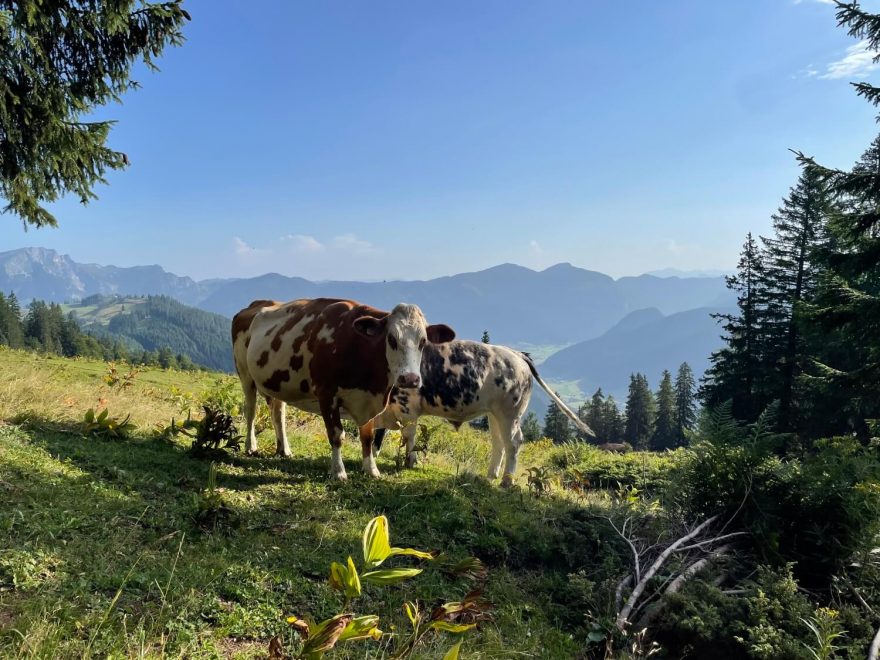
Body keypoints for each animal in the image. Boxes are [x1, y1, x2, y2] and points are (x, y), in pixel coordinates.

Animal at [232, 300, 454, 480]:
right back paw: (250, 446)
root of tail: (256, 305)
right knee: (251, 410)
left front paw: (371, 469)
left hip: (277, 382)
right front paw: (338, 471)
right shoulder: (327, 395)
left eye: (423, 341)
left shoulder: (367, 400)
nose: (410, 379)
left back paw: (284, 449)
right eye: (391, 339)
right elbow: (337, 435)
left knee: (278, 413)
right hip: (245, 374)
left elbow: (367, 437)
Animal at [368, 340, 596, 484]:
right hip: (494, 414)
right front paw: (375, 454)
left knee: (514, 442)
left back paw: (506, 481)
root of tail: (517, 354)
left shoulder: (407, 407)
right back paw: (491, 475)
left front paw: (409, 462)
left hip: (510, 412)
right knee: (499, 442)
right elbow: (379, 432)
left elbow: (409, 437)